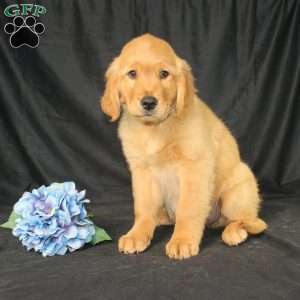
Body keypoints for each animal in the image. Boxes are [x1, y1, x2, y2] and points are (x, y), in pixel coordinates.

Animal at [101, 32, 268, 258]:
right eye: (132, 73)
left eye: (164, 74)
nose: (149, 102)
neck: (155, 128)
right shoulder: (142, 171)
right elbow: (143, 208)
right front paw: (137, 234)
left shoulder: (194, 167)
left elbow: (188, 209)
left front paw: (182, 240)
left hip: (237, 191)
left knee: (252, 222)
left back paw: (234, 232)